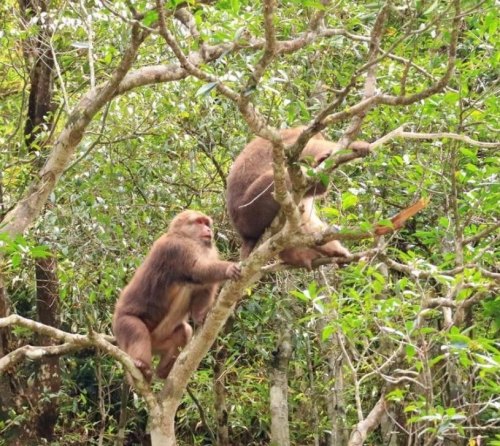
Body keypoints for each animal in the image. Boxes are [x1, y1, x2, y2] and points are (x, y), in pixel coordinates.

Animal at [112, 211, 241, 382]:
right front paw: (228, 268)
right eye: (199, 222)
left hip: (158, 340)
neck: (186, 237)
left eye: (207, 223)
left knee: (184, 331)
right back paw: (142, 368)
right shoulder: (176, 248)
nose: (208, 229)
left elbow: (203, 285)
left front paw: (199, 315)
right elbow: (197, 270)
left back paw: (163, 372)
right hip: (122, 322)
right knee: (137, 331)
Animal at [227, 127, 372, 270]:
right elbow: (314, 149)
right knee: (280, 180)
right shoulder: (293, 146)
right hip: (251, 210)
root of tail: (244, 235)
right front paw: (356, 145)